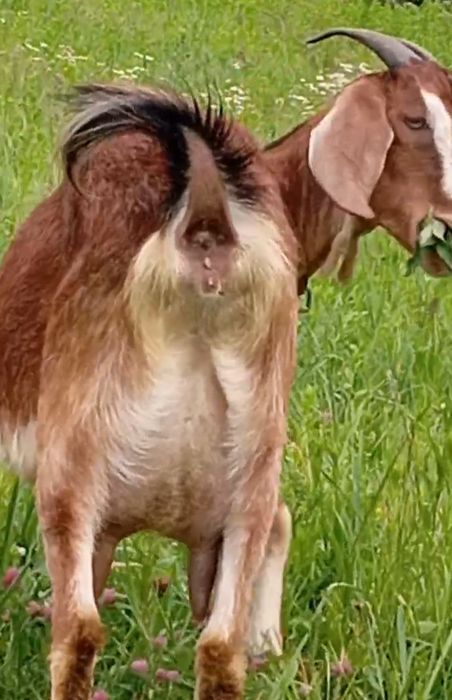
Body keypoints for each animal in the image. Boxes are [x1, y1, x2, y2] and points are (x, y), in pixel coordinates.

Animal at [0, 85, 299, 699]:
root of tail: (205, 222)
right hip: (253, 473)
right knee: (221, 647)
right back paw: (263, 645)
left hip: (73, 473)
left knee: (79, 632)